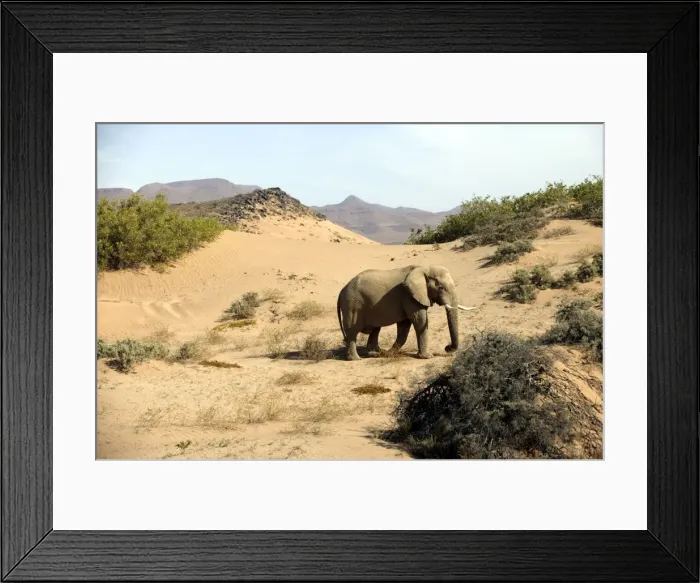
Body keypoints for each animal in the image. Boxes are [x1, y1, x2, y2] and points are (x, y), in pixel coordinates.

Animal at [336, 264, 475, 361]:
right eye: (440, 287)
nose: (447, 348)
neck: (424, 268)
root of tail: (341, 291)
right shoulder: (409, 295)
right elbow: (420, 321)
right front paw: (427, 357)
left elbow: (404, 325)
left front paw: (390, 353)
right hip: (352, 304)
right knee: (352, 331)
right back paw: (356, 359)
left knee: (375, 329)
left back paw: (376, 353)